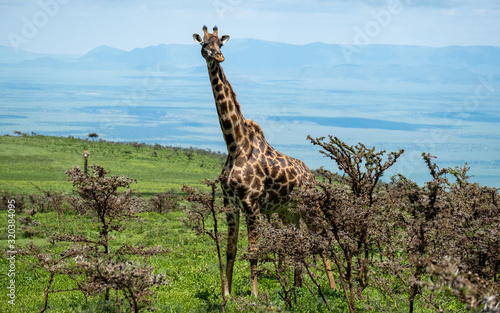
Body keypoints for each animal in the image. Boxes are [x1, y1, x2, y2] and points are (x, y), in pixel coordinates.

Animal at [192, 25, 336, 294]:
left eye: (221, 44)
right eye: (204, 44)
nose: (218, 57)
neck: (235, 145)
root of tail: (311, 175)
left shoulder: (251, 202)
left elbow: (254, 250)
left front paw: (254, 294)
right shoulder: (230, 203)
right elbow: (230, 249)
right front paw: (227, 294)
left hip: (309, 206)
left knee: (322, 239)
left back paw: (334, 288)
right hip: (290, 211)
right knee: (298, 241)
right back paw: (298, 286)